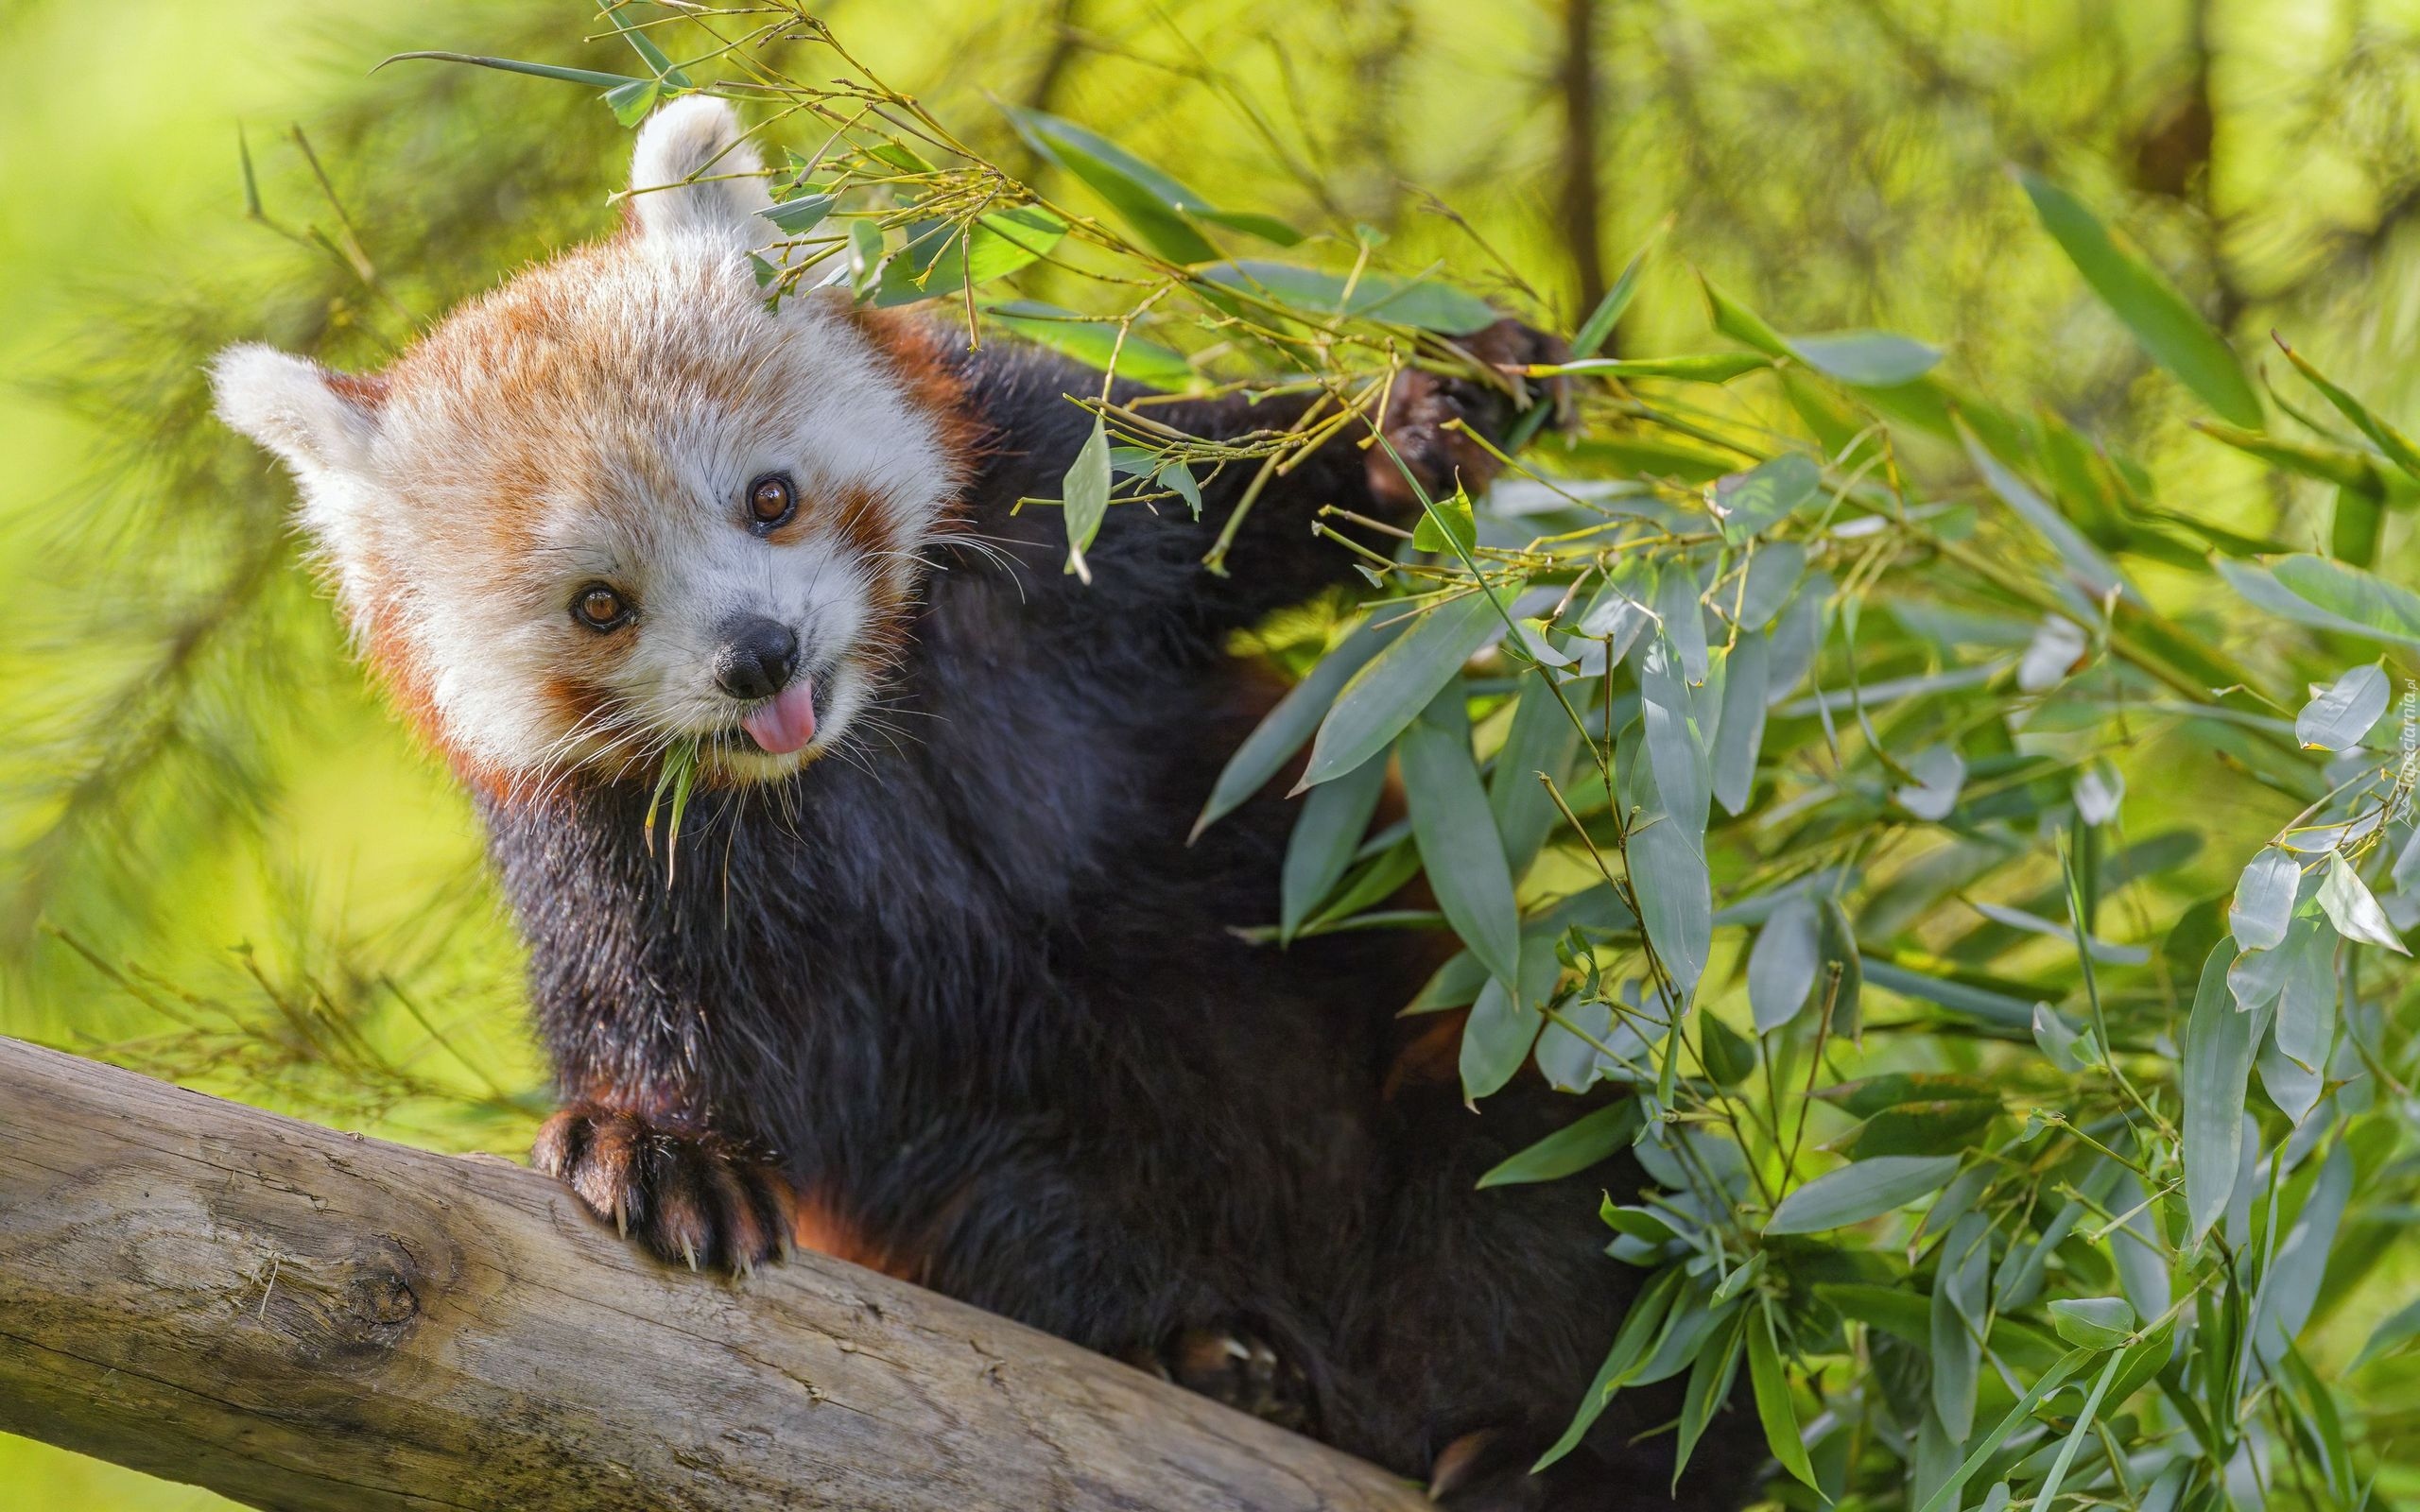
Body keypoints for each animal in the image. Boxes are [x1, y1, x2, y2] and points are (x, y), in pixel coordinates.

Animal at [217, 97, 1752, 1509]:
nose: (759, 655)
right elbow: (647, 999)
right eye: (601, 604)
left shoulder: (1048, 498)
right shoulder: (621, 842)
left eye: (769, 499)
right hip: (1015, 1180)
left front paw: (1429, 411)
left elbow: (1230, 499)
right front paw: (656, 1144)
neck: (862, 743)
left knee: (1564, 1185)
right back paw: (1214, 1355)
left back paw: (1576, 1452)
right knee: (1028, 1228)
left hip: (1467, 1065)